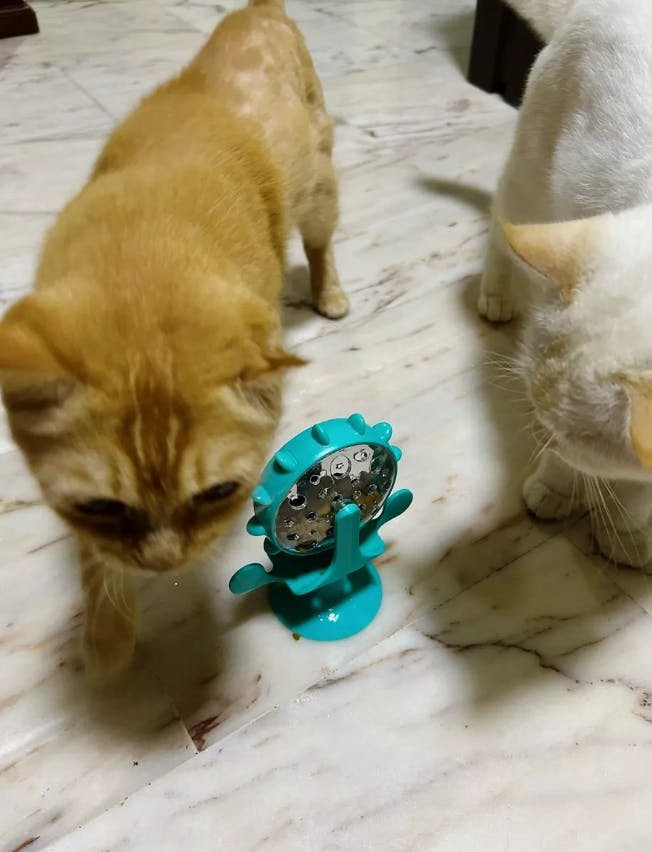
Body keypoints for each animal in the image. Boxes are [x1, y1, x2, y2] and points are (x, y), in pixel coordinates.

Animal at [0, 0, 348, 678]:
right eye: (101, 507)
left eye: (217, 494)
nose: (164, 562)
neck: (142, 262)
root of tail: (260, 9)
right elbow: (95, 556)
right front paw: (109, 634)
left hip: (319, 186)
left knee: (321, 243)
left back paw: (331, 293)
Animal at [479, 0, 652, 568]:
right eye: (551, 430)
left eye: (569, 436)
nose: (544, 439)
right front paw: (556, 489)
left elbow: (636, 492)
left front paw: (626, 533)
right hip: (532, 181)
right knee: (500, 223)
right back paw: (496, 294)